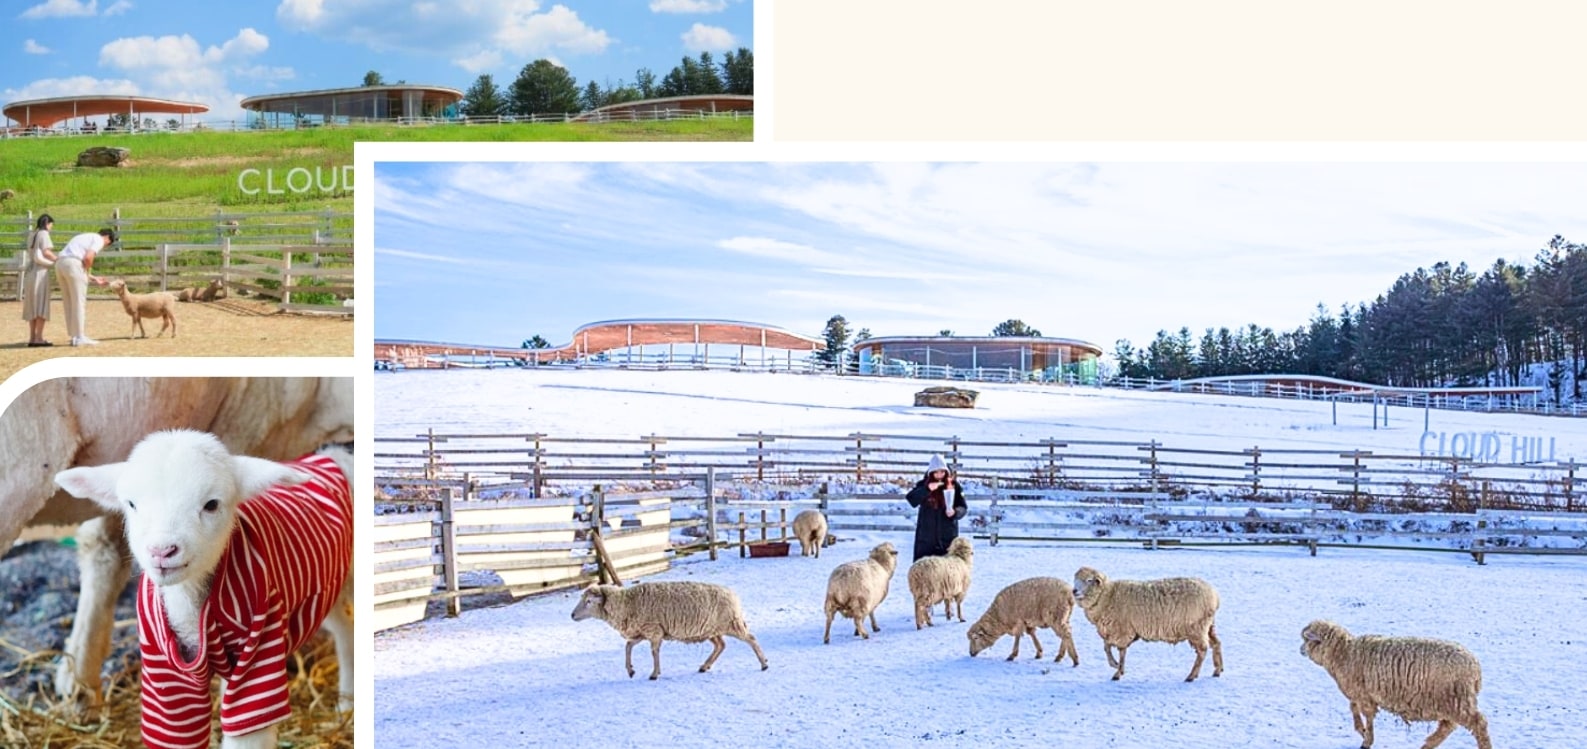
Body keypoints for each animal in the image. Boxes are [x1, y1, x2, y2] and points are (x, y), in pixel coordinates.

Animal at [0, 377, 352, 710]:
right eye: (133, 503)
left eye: (211, 504)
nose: (162, 551)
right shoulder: (244, 425)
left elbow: (103, 551)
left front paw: (78, 681)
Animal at [56, 428, 357, 749]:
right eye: (131, 504)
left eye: (211, 504)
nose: (162, 551)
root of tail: (330, 455)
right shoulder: (166, 670)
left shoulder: (261, 646)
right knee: (344, 626)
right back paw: (347, 702)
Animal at [571, 580, 768, 682]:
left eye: (588, 601)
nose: (572, 615)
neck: (626, 603)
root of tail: (733, 594)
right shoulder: (642, 631)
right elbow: (628, 646)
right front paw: (630, 670)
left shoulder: (653, 630)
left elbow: (654, 652)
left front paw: (654, 674)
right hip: (711, 630)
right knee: (721, 645)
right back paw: (705, 666)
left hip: (731, 623)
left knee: (751, 638)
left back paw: (764, 663)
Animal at [1066, 568, 1225, 685]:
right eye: (1075, 579)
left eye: (1089, 580)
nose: (1074, 591)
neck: (1107, 595)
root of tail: (1215, 596)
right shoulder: (1117, 631)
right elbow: (1106, 648)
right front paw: (1116, 666)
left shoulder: (1122, 630)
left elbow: (1120, 651)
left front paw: (1118, 671)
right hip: (1207, 625)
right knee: (1216, 643)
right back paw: (1217, 670)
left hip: (1196, 628)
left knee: (1202, 650)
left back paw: (1191, 676)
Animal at [1294, 618, 1491, 749]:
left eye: (1307, 639)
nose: (1300, 650)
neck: (1344, 653)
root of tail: (1476, 669)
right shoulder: (1360, 692)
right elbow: (1353, 708)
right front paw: (1361, 730)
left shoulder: (1364, 694)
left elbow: (1367, 716)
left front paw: (1366, 739)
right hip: (1451, 701)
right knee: (1448, 725)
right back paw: (1427, 744)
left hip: (1456, 699)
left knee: (1478, 724)